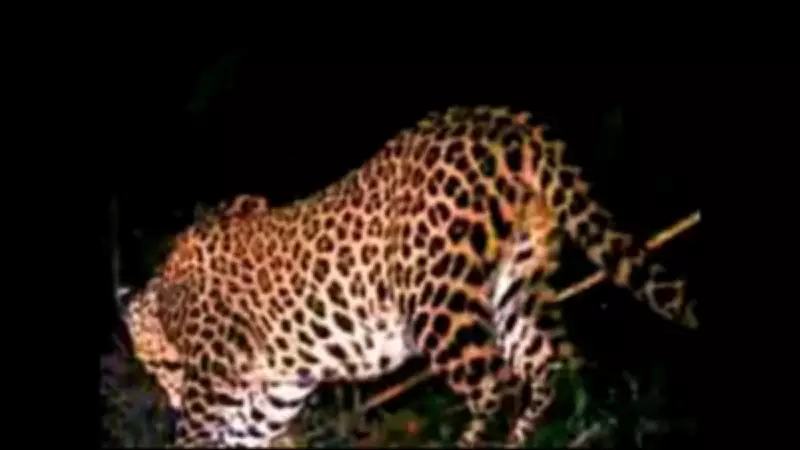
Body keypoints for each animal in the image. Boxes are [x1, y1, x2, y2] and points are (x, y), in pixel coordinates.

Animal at [116, 106, 698, 447]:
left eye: (166, 366)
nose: (169, 395)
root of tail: (508, 124)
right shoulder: (275, 390)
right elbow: (242, 433)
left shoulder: (213, 374)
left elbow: (197, 432)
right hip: (516, 284)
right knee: (555, 365)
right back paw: (565, 430)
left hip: (436, 296)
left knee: (497, 382)